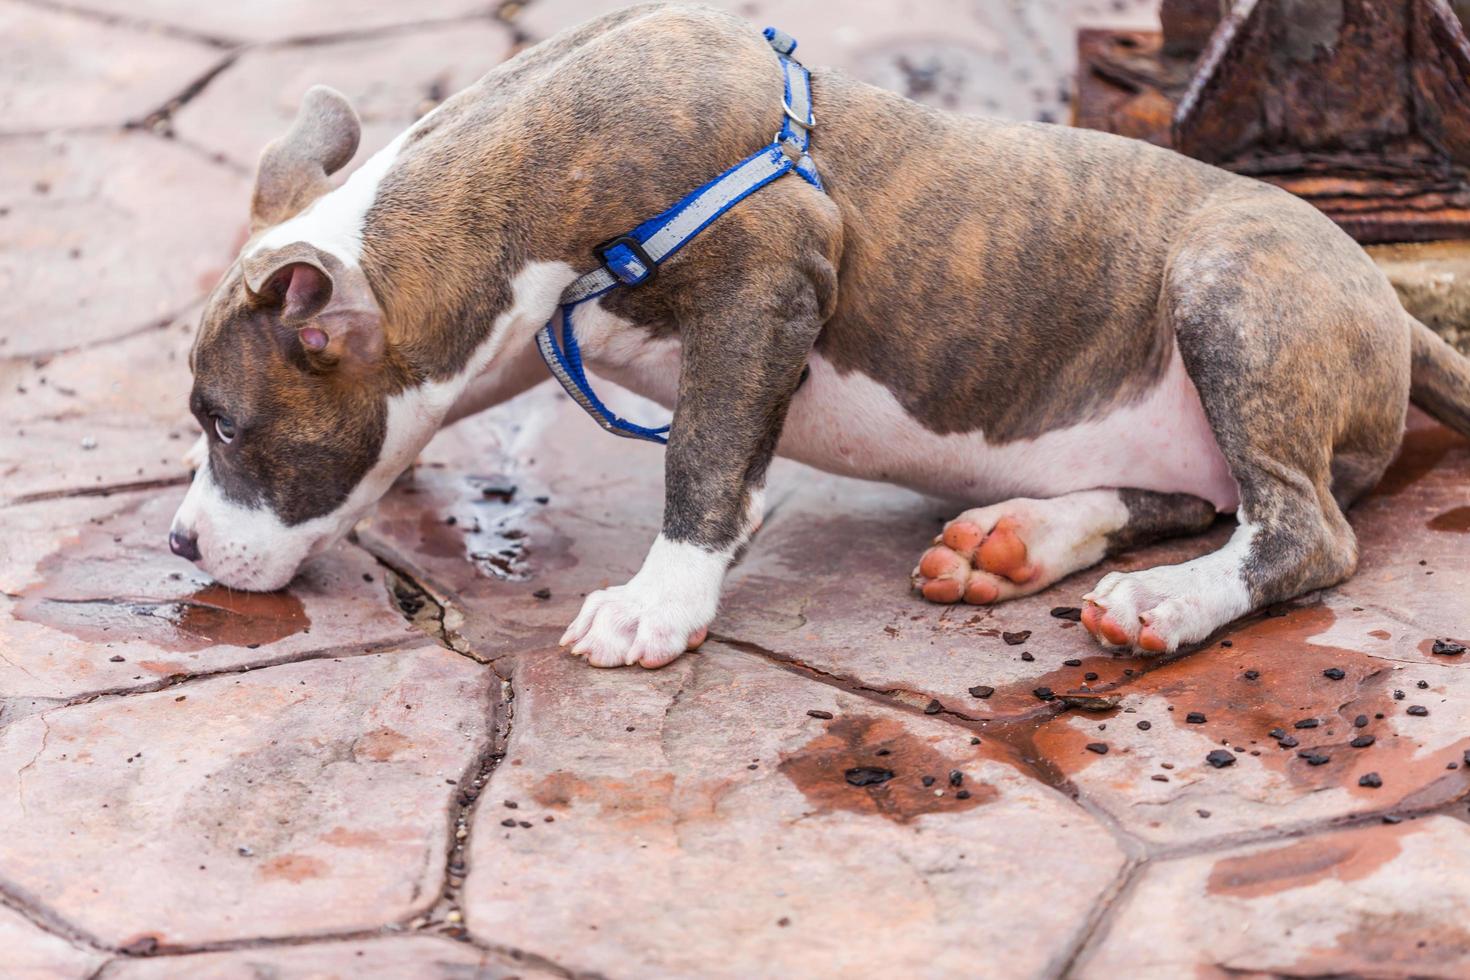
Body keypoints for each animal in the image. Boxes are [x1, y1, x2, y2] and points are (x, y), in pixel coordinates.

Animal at [169, 0, 1470, 669]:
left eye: (224, 422)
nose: (179, 545)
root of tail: (1392, 305)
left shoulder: (771, 277)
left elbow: (701, 454)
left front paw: (661, 598)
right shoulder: (522, 326)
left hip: (1230, 287)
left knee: (1301, 529)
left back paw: (1171, 602)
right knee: (1200, 495)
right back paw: (1022, 539)